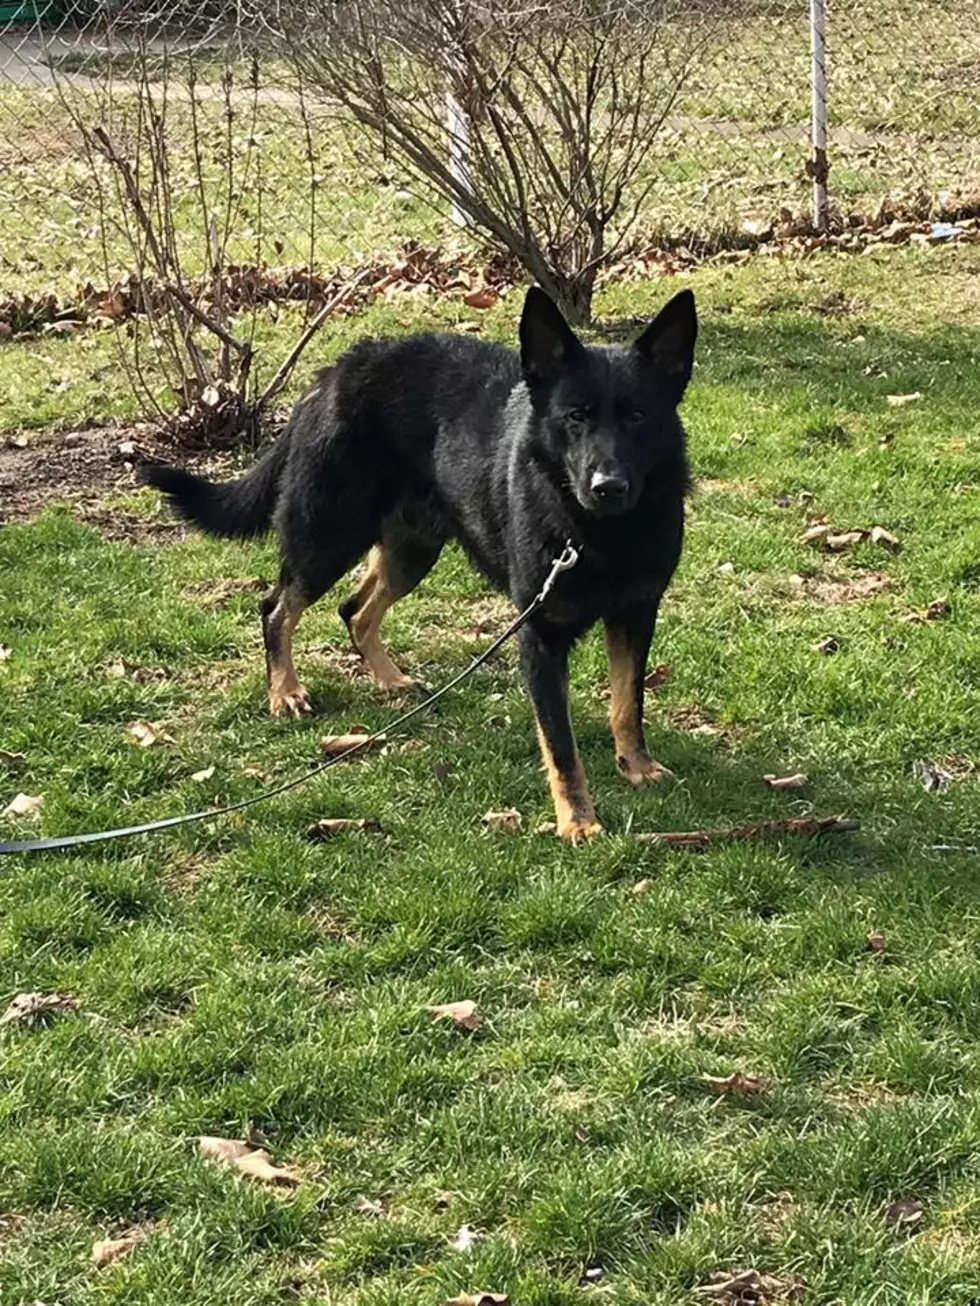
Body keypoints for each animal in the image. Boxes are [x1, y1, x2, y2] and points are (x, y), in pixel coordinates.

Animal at [143, 286, 700, 841]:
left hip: (411, 553)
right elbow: (561, 745)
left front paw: (636, 765)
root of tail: (338, 369)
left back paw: (389, 680)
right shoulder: (538, 634)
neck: (599, 531)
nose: (608, 487)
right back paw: (286, 691)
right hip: (329, 537)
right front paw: (578, 820)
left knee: (353, 609)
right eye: (575, 417)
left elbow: (628, 703)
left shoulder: (636, 614)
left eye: (638, 417)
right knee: (276, 607)